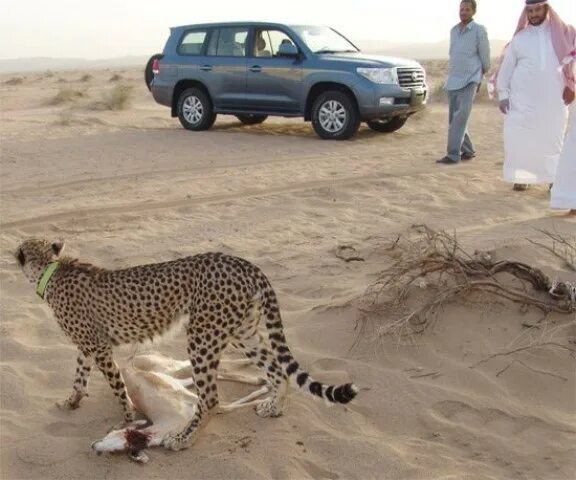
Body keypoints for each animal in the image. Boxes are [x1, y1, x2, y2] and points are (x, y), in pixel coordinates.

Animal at [15, 242, 358, 452]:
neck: (50, 269)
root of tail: (242, 262)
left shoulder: (98, 347)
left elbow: (116, 386)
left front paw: (126, 417)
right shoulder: (88, 345)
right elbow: (78, 375)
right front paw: (71, 401)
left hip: (202, 336)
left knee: (211, 399)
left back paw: (184, 439)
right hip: (242, 332)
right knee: (276, 370)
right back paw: (274, 408)